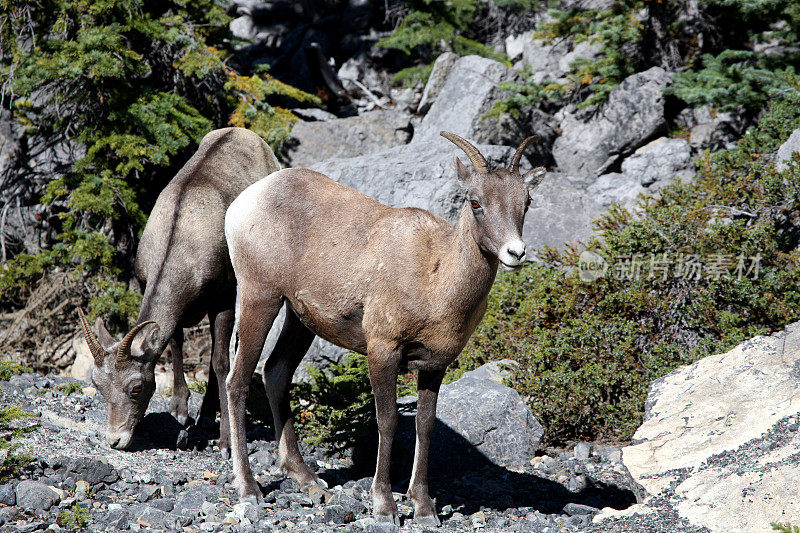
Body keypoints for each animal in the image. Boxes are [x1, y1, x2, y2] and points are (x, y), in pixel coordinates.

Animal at [76, 128, 282, 454]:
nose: (116, 440)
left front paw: (225, 442)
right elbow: (176, 346)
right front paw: (180, 411)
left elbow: (220, 362)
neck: (181, 243)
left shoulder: (223, 299)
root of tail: (244, 133)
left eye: (136, 387)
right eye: (98, 386)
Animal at [225, 132, 544, 524]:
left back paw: (307, 479)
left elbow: (425, 424)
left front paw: (423, 508)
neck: (435, 278)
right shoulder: (382, 351)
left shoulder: (435, 364)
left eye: (526, 201)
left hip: (300, 318)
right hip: (260, 298)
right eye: (475, 202)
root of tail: (245, 202)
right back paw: (249, 489)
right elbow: (388, 420)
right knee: (238, 382)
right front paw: (385, 506)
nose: (515, 253)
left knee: (276, 372)